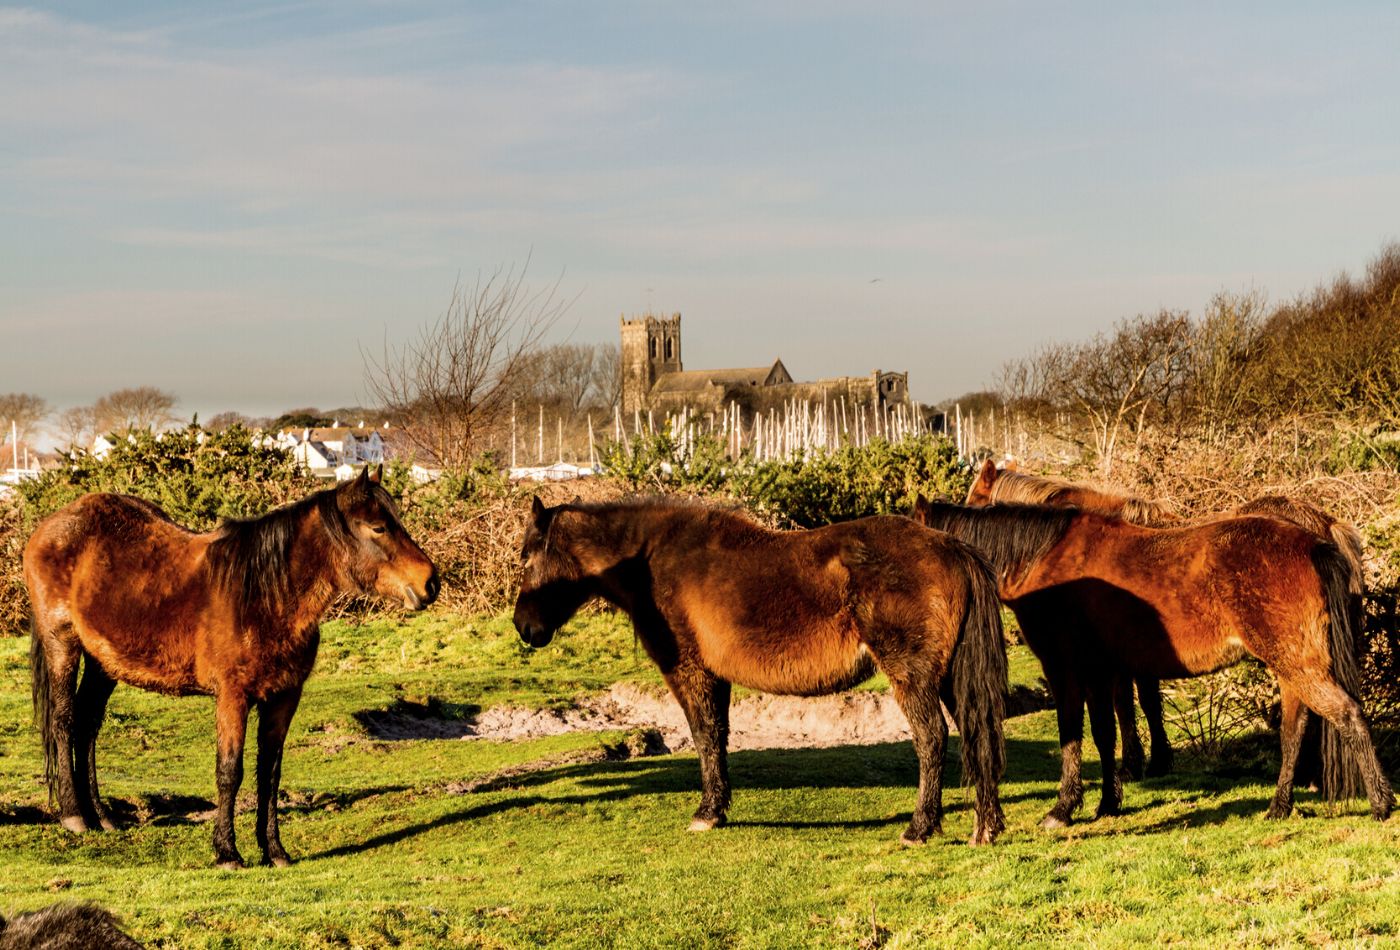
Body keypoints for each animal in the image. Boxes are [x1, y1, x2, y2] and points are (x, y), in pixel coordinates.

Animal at [21, 467, 436, 867]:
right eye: (378, 527)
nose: (431, 583)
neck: (265, 598)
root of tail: (50, 526)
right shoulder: (232, 697)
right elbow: (230, 772)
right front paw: (227, 852)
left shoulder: (284, 698)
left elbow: (269, 773)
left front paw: (274, 850)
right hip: (62, 643)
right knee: (65, 720)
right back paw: (74, 815)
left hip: (103, 662)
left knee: (88, 724)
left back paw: (101, 815)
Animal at [512, 498, 1008, 845]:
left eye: (526, 558)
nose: (523, 626)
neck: (650, 561)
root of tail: (949, 546)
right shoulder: (716, 677)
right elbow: (718, 736)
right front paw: (718, 807)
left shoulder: (690, 671)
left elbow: (704, 737)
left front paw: (707, 812)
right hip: (948, 678)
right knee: (977, 734)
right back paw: (986, 826)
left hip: (913, 676)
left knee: (932, 739)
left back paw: (920, 827)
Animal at [907, 498, 1388, 833]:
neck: (1046, 559)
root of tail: (1314, 542)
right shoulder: (1102, 671)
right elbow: (1105, 736)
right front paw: (1107, 802)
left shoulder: (1067, 671)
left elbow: (1072, 737)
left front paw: (1063, 809)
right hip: (1292, 669)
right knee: (1294, 732)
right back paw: (1279, 806)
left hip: (1298, 666)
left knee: (1348, 715)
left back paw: (1381, 803)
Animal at [968, 458, 1360, 777]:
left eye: (973, 500)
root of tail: (1323, 523)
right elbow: (1143, 701)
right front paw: (1153, 760)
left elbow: (1129, 703)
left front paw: (1137, 764)